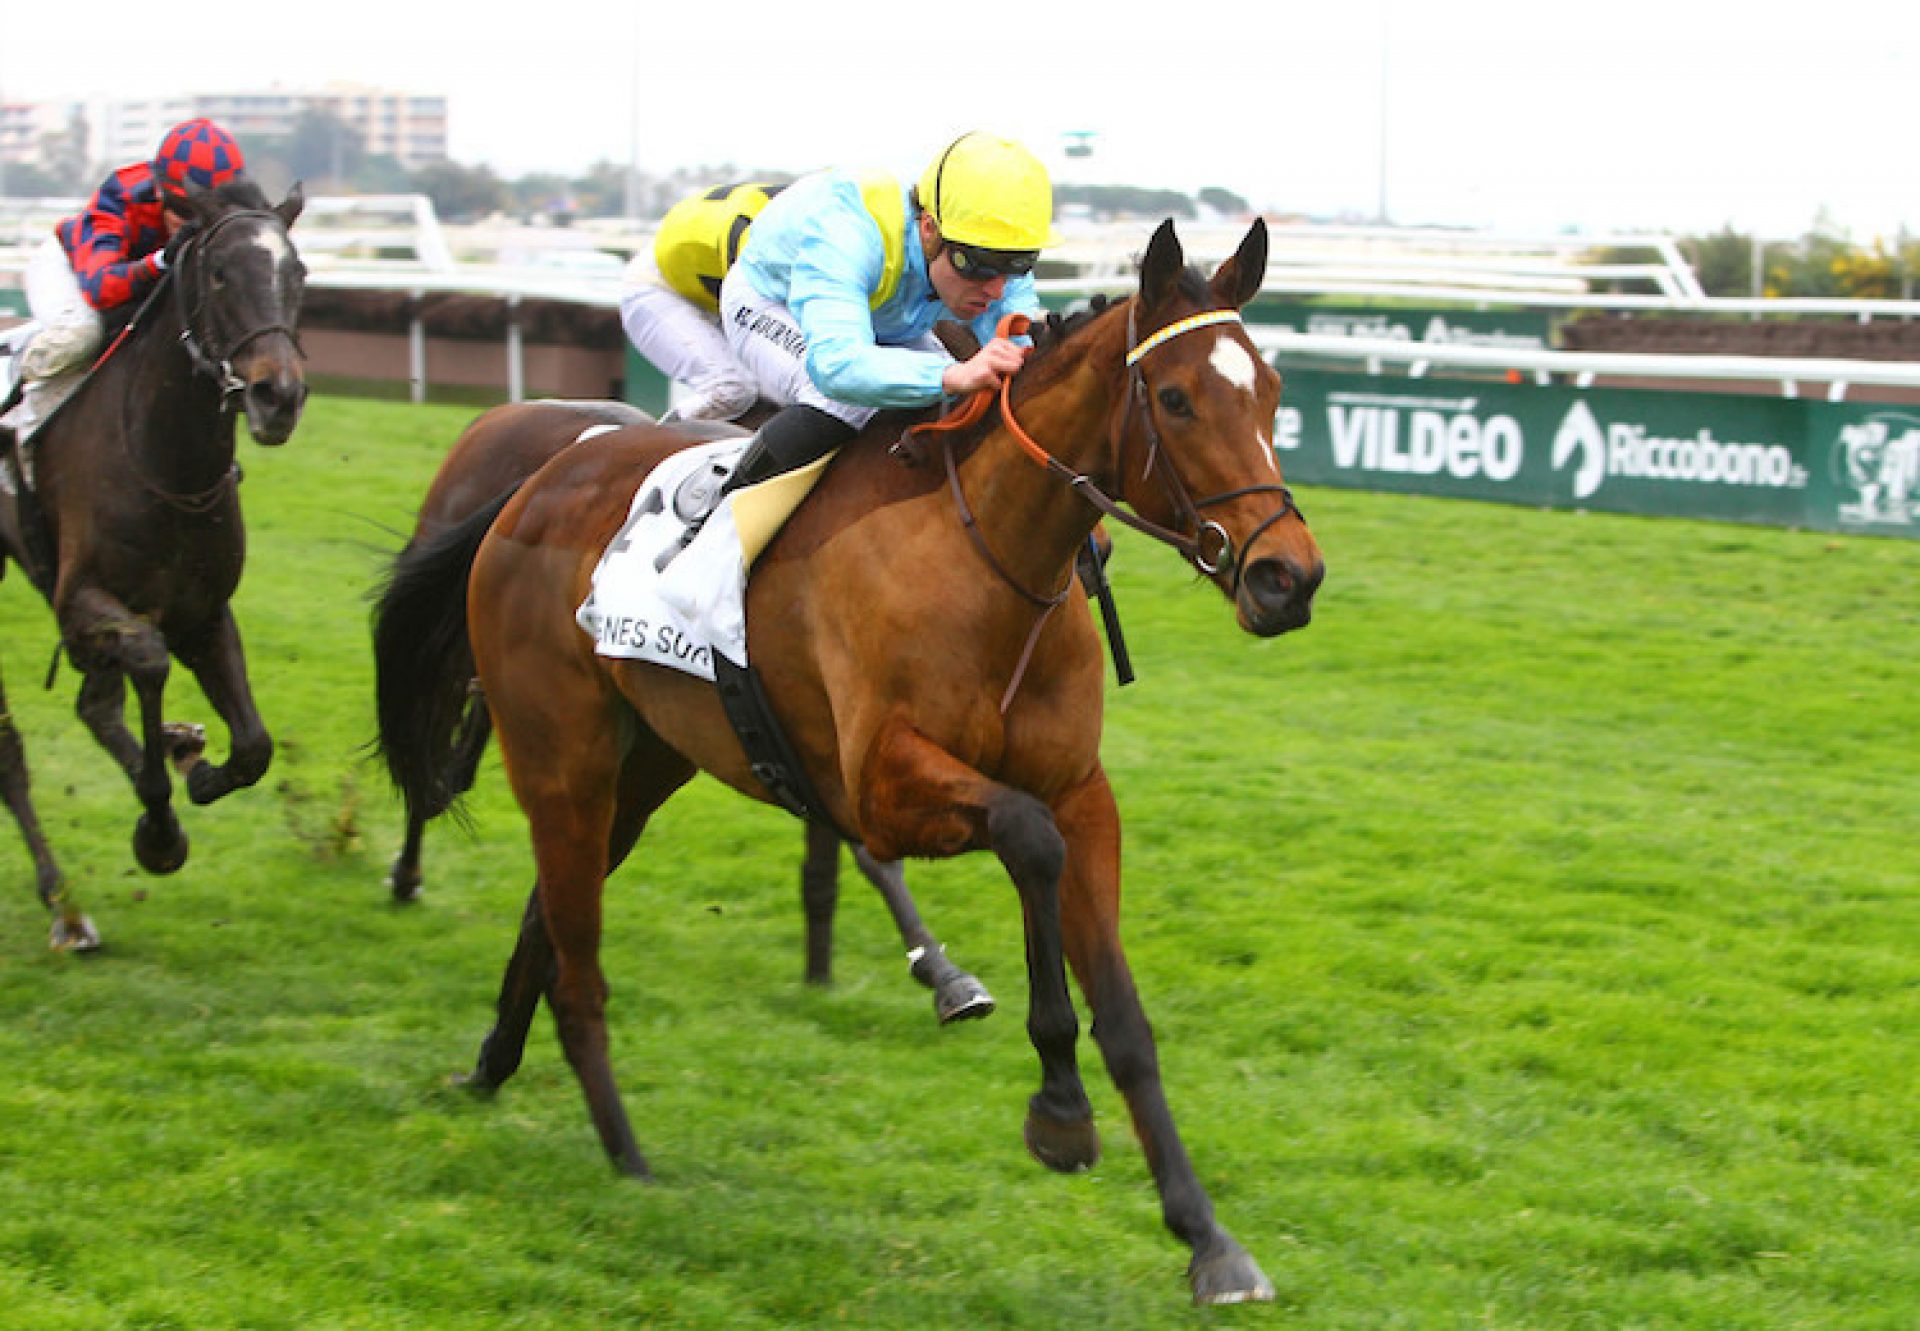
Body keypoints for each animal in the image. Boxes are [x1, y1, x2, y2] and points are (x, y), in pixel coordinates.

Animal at [0, 179, 305, 944]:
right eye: (220, 273)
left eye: (300, 273)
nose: (279, 396)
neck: (165, 460)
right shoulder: (83, 603)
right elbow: (148, 657)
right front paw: (160, 830)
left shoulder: (206, 611)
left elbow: (254, 745)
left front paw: (193, 763)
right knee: (12, 745)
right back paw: (63, 904)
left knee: (92, 702)